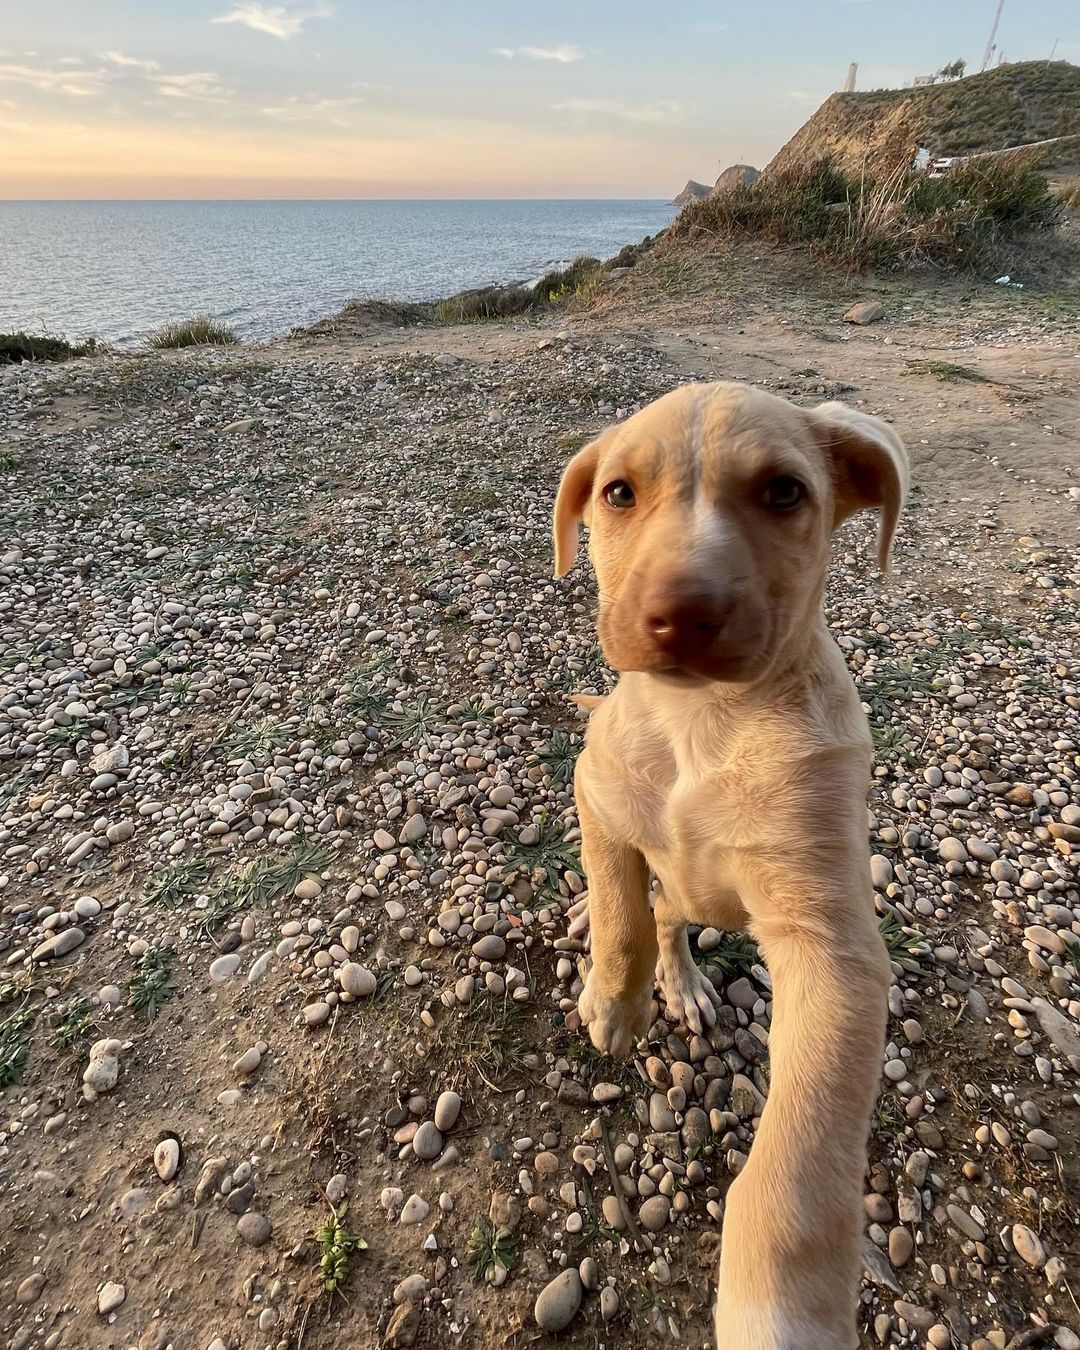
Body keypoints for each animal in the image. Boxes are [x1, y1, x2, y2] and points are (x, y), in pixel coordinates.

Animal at [553, 380, 907, 1350]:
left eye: (785, 493)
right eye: (618, 494)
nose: (680, 612)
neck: (701, 723)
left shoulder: (831, 947)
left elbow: (803, 1151)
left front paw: (779, 1306)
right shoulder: (597, 792)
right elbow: (620, 909)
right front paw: (613, 1001)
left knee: (674, 917)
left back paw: (686, 985)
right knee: (643, 906)